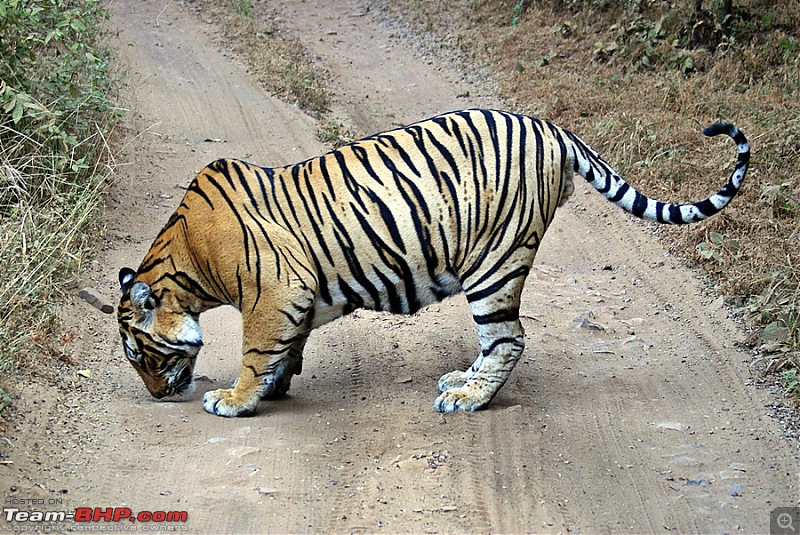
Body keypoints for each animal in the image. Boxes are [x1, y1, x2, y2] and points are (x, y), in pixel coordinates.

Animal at [115, 110, 748, 418]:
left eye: (141, 355)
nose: (155, 396)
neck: (184, 264)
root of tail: (553, 129)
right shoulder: (297, 295)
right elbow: (283, 348)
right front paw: (271, 387)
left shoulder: (276, 290)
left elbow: (256, 350)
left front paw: (235, 399)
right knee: (499, 342)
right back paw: (462, 379)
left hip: (494, 263)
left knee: (510, 339)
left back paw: (467, 398)